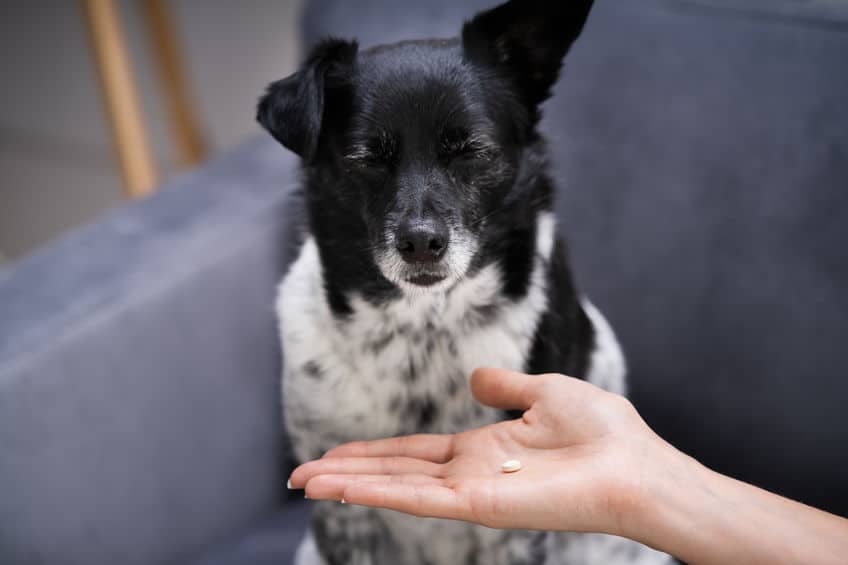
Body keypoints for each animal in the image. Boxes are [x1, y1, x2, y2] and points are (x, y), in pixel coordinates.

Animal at [255, 1, 672, 564]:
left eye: (472, 150)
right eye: (366, 159)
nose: (420, 242)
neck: (422, 328)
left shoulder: (517, 523)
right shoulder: (337, 502)